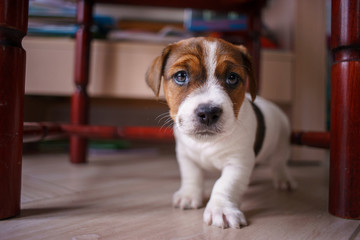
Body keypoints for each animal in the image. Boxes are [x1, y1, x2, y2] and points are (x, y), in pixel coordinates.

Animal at [145, 37, 296, 229]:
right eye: (181, 76)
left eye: (232, 78)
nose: (208, 113)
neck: (206, 142)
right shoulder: (186, 156)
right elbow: (191, 175)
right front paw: (188, 195)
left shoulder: (237, 163)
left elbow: (225, 184)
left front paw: (221, 209)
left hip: (282, 143)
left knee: (279, 163)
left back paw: (283, 179)